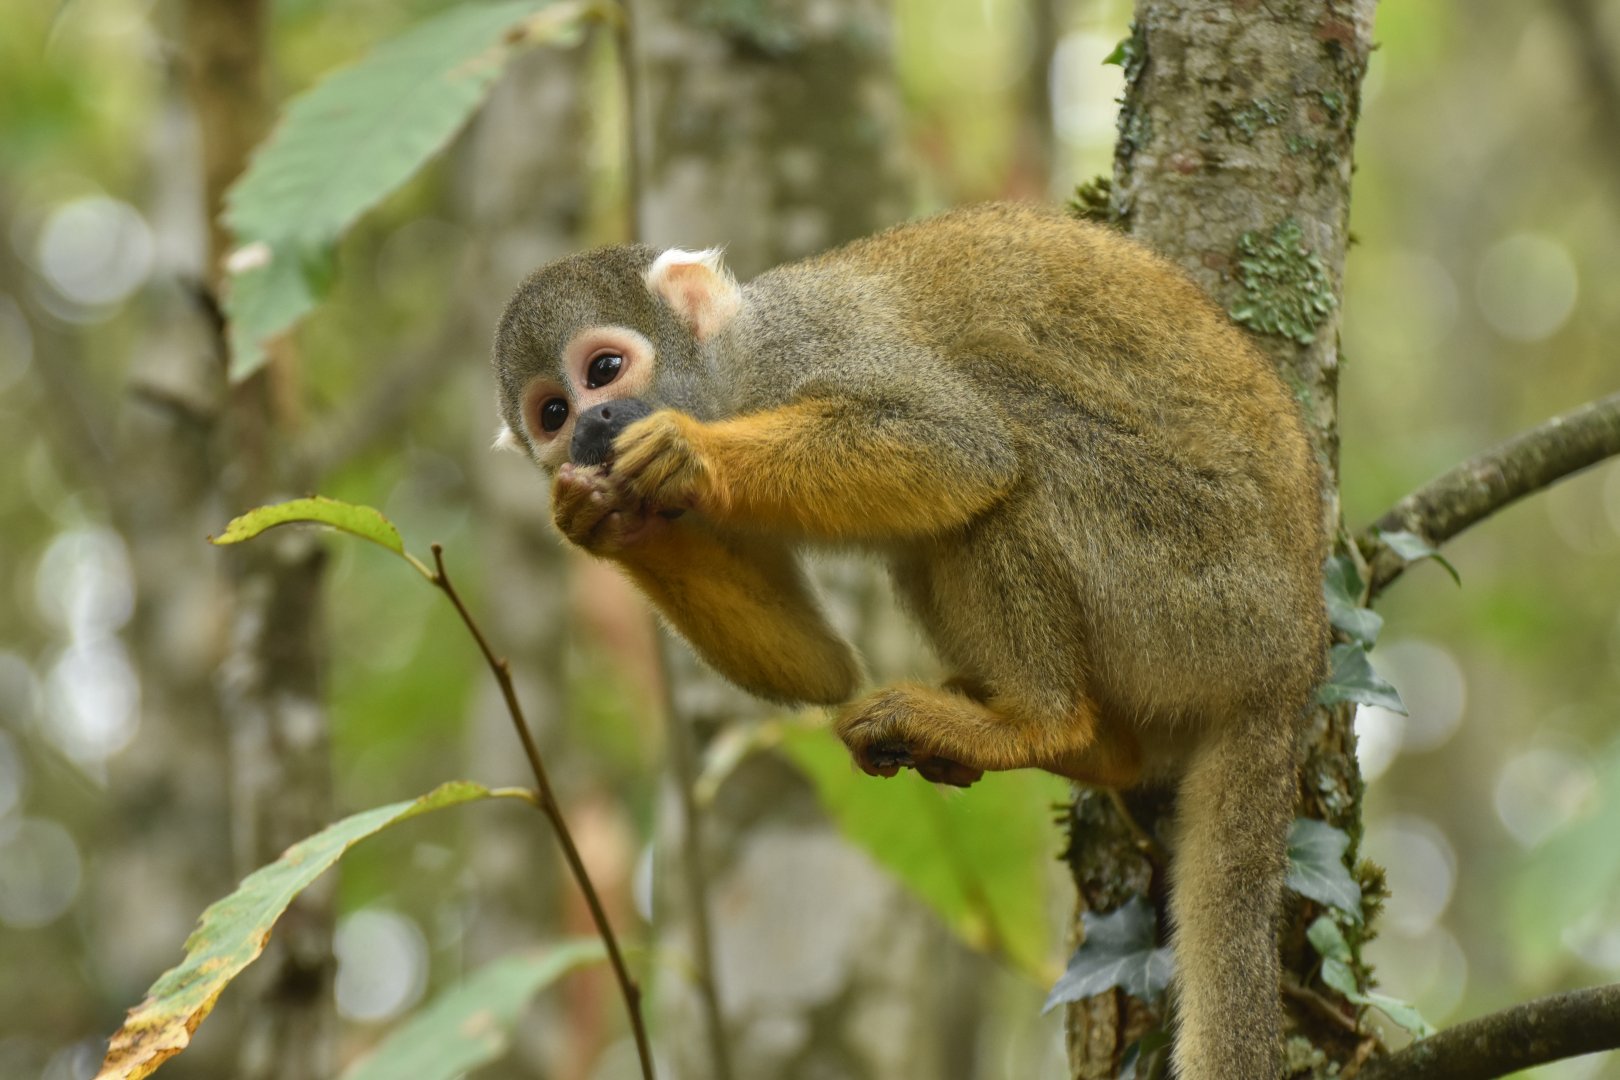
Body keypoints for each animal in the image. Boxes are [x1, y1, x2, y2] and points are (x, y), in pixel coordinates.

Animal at [489, 202, 1329, 1080]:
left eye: (604, 370)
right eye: (552, 415)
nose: (589, 428)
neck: (735, 378)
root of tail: (1292, 660)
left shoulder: (806, 346)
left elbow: (959, 445)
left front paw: (688, 452)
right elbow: (821, 670)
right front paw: (598, 523)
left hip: (1194, 588)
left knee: (1015, 447)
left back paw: (1044, 724)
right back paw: (1092, 747)